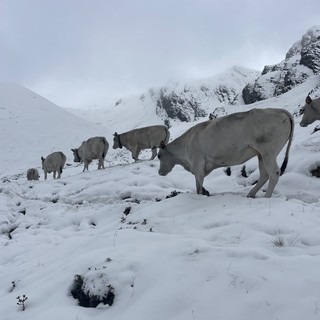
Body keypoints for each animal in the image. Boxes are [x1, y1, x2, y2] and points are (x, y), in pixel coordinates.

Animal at [157, 108, 292, 198]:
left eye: (159, 156)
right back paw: (250, 194)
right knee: (264, 175)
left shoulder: (198, 164)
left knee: (274, 173)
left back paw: (266, 196)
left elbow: (198, 185)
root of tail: (278, 110)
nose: (159, 172)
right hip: (261, 155)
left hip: (269, 152)